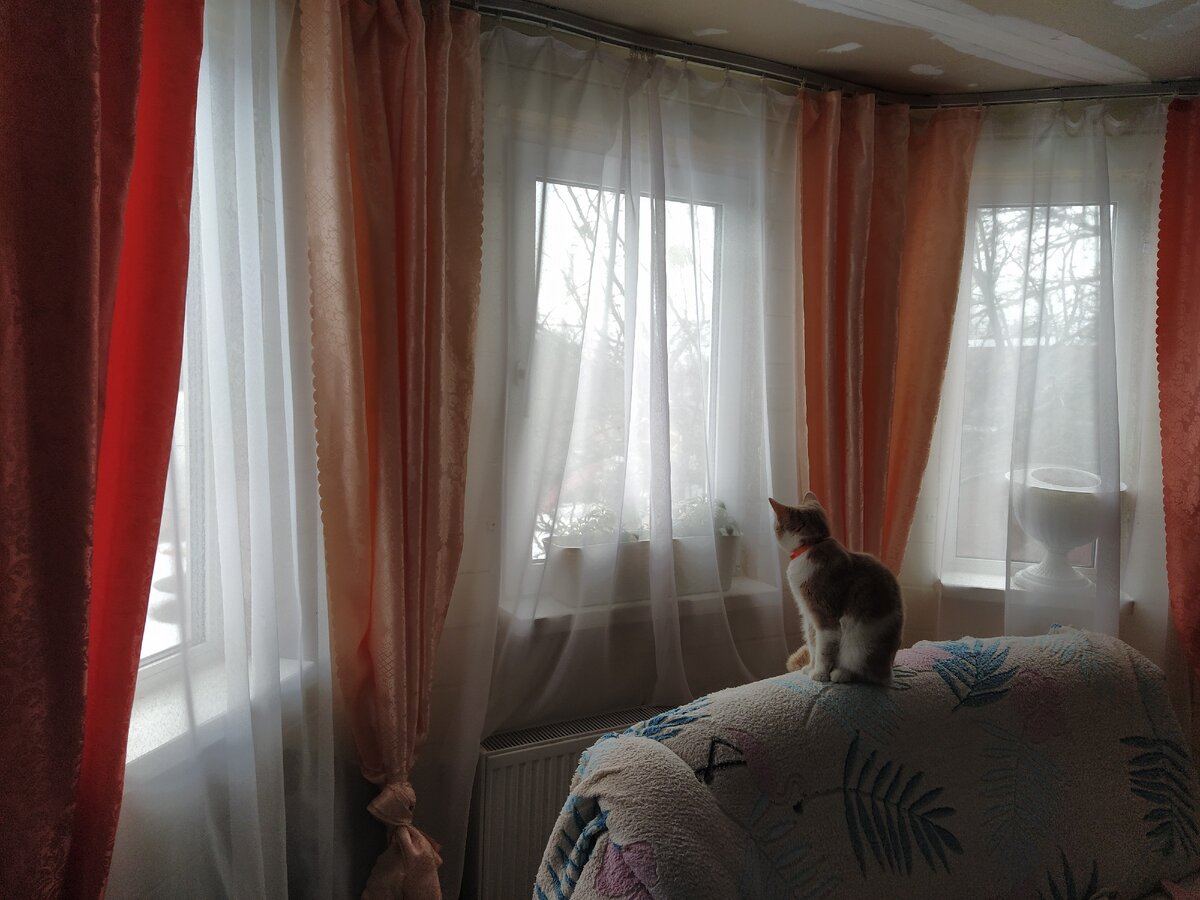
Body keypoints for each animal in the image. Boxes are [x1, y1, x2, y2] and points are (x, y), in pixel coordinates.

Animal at [769, 493, 903, 685]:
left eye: (776, 525)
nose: (773, 530)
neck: (812, 545)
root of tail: (889, 673)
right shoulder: (809, 618)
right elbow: (813, 645)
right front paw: (810, 667)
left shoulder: (825, 617)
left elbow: (823, 650)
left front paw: (819, 675)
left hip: (858, 643)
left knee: (864, 673)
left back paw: (842, 674)